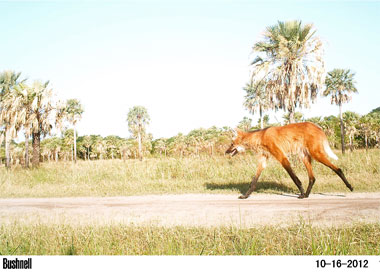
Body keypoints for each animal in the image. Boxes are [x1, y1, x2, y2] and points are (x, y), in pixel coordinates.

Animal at [226, 122, 354, 199]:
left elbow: (295, 178)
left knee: (338, 169)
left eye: (231, 144)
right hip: (304, 156)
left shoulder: (282, 158)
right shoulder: (263, 159)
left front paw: (301, 191)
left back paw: (350, 187)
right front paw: (245, 196)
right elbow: (254, 180)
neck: (260, 137)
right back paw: (306, 195)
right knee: (312, 178)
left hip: (316, 154)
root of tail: (318, 127)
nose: (226, 152)